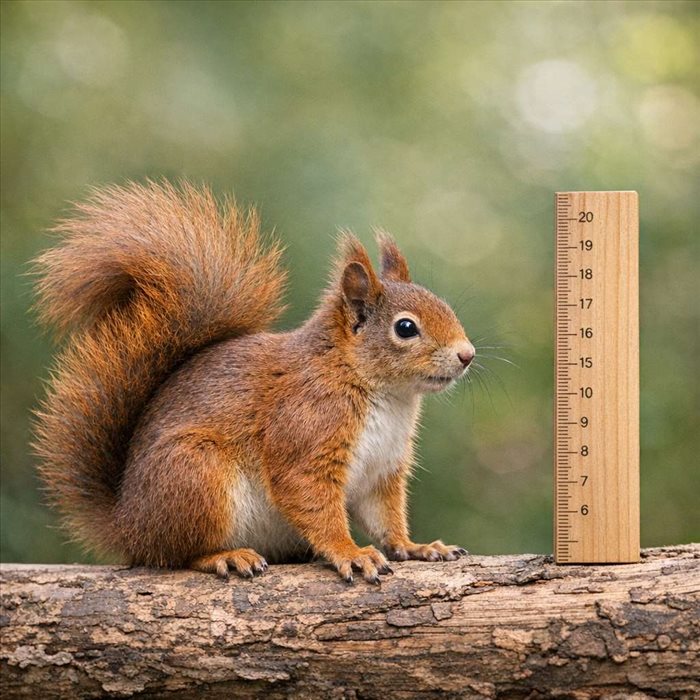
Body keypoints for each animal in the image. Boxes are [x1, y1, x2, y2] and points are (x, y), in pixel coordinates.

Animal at [33, 181, 476, 585]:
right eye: (405, 328)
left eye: (443, 304)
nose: (467, 355)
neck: (385, 394)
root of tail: (127, 525)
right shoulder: (305, 433)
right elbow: (312, 501)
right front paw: (350, 553)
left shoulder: (382, 471)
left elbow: (386, 518)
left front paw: (416, 547)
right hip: (196, 475)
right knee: (176, 556)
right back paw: (225, 556)